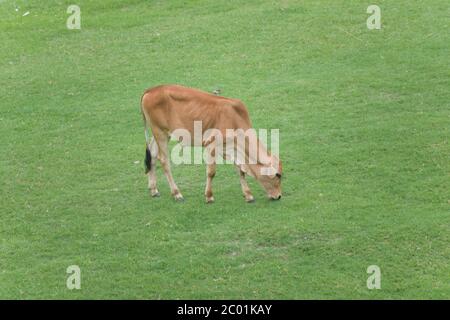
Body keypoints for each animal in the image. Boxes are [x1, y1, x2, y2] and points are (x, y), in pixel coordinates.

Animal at [141, 84, 282, 202]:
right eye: (278, 175)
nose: (279, 196)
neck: (235, 119)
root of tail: (151, 90)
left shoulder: (231, 149)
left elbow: (240, 171)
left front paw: (248, 195)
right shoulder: (211, 146)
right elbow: (211, 172)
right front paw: (209, 196)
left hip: (162, 133)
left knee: (152, 155)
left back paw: (153, 189)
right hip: (160, 132)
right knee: (164, 160)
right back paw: (177, 193)